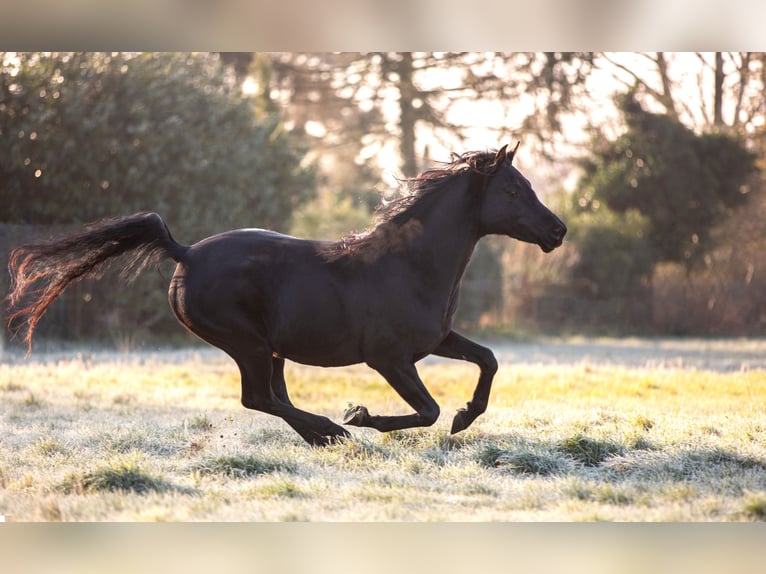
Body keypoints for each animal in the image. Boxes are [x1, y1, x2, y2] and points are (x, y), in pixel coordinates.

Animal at [6, 143, 568, 446]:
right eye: (513, 191)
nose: (557, 231)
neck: (410, 266)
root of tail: (183, 253)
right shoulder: (388, 357)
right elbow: (426, 409)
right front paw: (363, 416)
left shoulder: (434, 340)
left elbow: (488, 359)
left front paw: (464, 416)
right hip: (246, 343)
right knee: (259, 397)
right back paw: (332, 430)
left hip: (268, 348)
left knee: (272, 397)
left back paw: (321, 436)